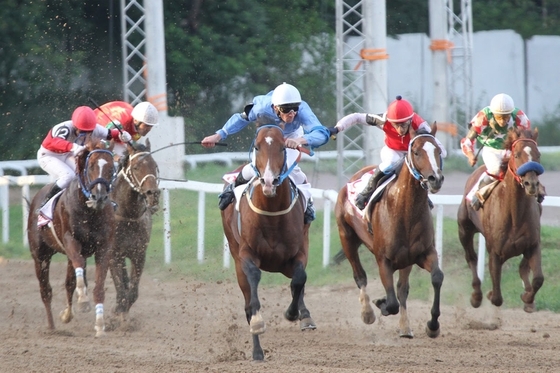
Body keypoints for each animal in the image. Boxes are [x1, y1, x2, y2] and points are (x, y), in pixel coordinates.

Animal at [28, 138, 117, 336]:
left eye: (111, 167)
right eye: (91, 166)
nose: (99, 197)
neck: (89, 211)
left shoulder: (104, 247)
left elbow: (98, 287)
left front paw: (100, 326)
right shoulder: (71, 241)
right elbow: (79, 265)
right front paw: (83, 300)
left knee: (69, 283)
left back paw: (67, 314)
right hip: (40, 256)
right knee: (45, 290)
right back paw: (51, 327)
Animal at [109, 138, 160, 316]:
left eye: (154, 165)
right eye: (136, 167)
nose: (153, 194)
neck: (127, 215)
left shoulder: (139, 254)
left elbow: (132, 293)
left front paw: (122, 310)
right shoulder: (112, 255)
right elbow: (121, 289)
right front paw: (117, 311)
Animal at [223, 125, 320, 360]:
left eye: (283, 148)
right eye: (257, 147)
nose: (269, 181)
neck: (271, 214)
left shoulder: (298, 252)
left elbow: (300, 278)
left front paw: (294, 313)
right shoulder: (246, 254)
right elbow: (253, 287)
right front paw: (257, 325)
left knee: (298, 281)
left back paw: (304, 315)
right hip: (236, 255)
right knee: (248, 302)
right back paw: (257, 350)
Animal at [334, 123, 444, 338]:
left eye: (438, 151)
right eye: (416, 152)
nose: (435, 179)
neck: (404, 210)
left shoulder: (422, 253)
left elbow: (436, 277)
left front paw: (433, 325)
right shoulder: (383, 259)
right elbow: (391, 302)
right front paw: (381, 304)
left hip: (405, 260)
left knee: (402, 289)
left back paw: (405, 327)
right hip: (346, 236)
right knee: (360, 276)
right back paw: (367, 312)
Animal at [458, 127, 544, 310]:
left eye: (538, 154)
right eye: (516, 155)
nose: (531, 184)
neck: (515, 215)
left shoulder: (533, 244)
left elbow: (538, 279)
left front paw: (527, 298)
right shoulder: (495, 252)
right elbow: (497, 297)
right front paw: (489, 294)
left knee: (523, 266)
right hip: (464, 229)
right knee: (471, 257)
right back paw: (476, 296)